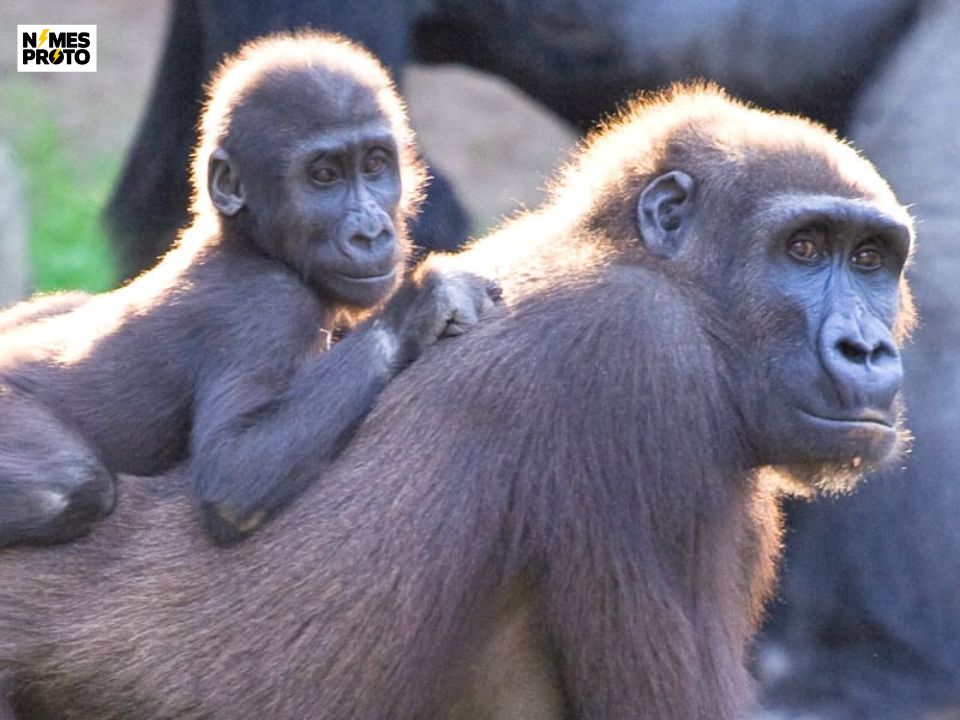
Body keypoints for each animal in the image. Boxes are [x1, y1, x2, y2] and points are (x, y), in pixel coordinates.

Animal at [0, 29, 496, 544]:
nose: (371, 232)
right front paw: (421, 307)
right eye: (324, 176)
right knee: (70, 484)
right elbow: (234, 476)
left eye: (375, 166)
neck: (247, 241)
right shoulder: (269, 308)